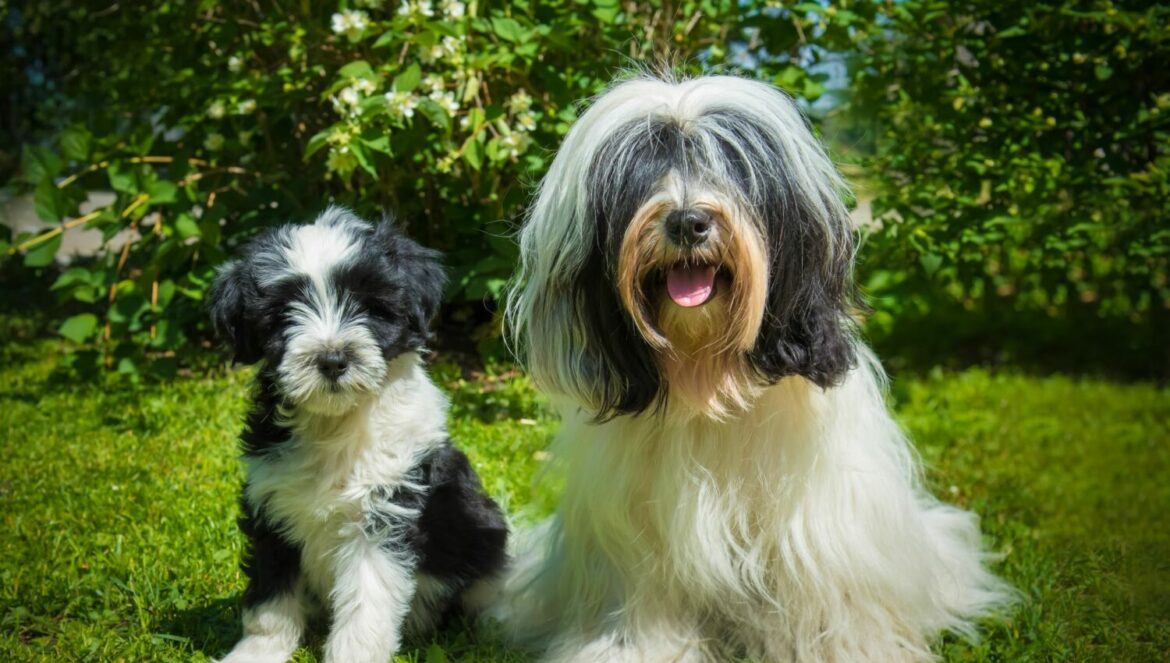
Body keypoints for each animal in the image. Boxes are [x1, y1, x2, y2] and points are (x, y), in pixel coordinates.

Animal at [209, 208, 507, 663]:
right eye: (283, 314)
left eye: (369, 307)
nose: (332, 359)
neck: (337, 425)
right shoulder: (270, 507)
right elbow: (270, 598)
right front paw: (257, 653)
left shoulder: (385, 512)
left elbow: (366, 602)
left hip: (482, 526)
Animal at [503, 75, 1015, 659]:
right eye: (641, 171)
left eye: (731, 164)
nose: (688, 221)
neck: (706, 373)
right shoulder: (636, 535)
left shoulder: (814, 523)